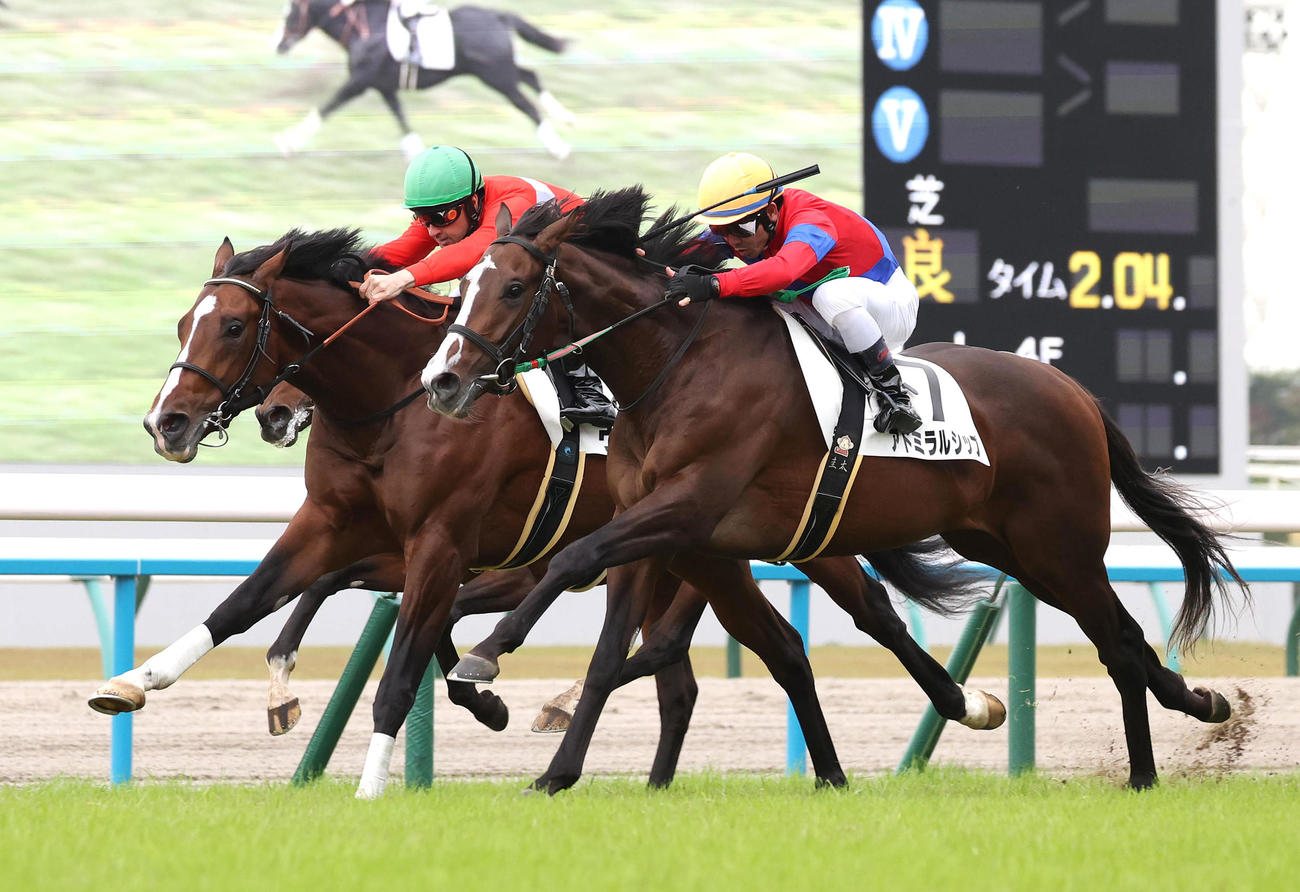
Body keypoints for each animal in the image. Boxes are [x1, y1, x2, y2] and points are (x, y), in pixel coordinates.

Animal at [99, 227, 1001, 797]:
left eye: (234, 326)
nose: (166, 423)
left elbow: (403, 653)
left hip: (793, 540)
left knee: (868, 613)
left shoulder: (444, 542)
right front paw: (136, 683)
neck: (394, 402)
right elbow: (252, 602)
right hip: (701, 552)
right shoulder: (343, 527)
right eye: (182, 323)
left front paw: (383, 768)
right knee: (717, 662)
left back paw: (969, 703)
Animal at [273, 0, 575, 159]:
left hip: (498, 78)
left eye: (290, 12)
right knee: (531, 77)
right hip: (501, 72)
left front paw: (288, 142)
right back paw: (566, 118)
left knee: (527, 104)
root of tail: (499, 16)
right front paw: (417, 154)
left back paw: (559, 146)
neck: (366, 28)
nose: (277, 45)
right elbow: (401, 117)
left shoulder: (359, 82)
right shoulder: (383, 86)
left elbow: (327, 107)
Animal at [420, 187, 1249, 792]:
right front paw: (555, 773)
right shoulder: (659, 528)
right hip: (1007, 546)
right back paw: (1201, 707)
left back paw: (1143, 774)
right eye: (461, 288)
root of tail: (1073, 390)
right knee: (1123, 638)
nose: (443, 381)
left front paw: (486, 658)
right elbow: (604, 646)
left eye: (515, 287)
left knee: (1118, 642)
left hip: (1060, 546)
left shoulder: (685, 506)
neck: (677, 362)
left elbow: (568, 563)